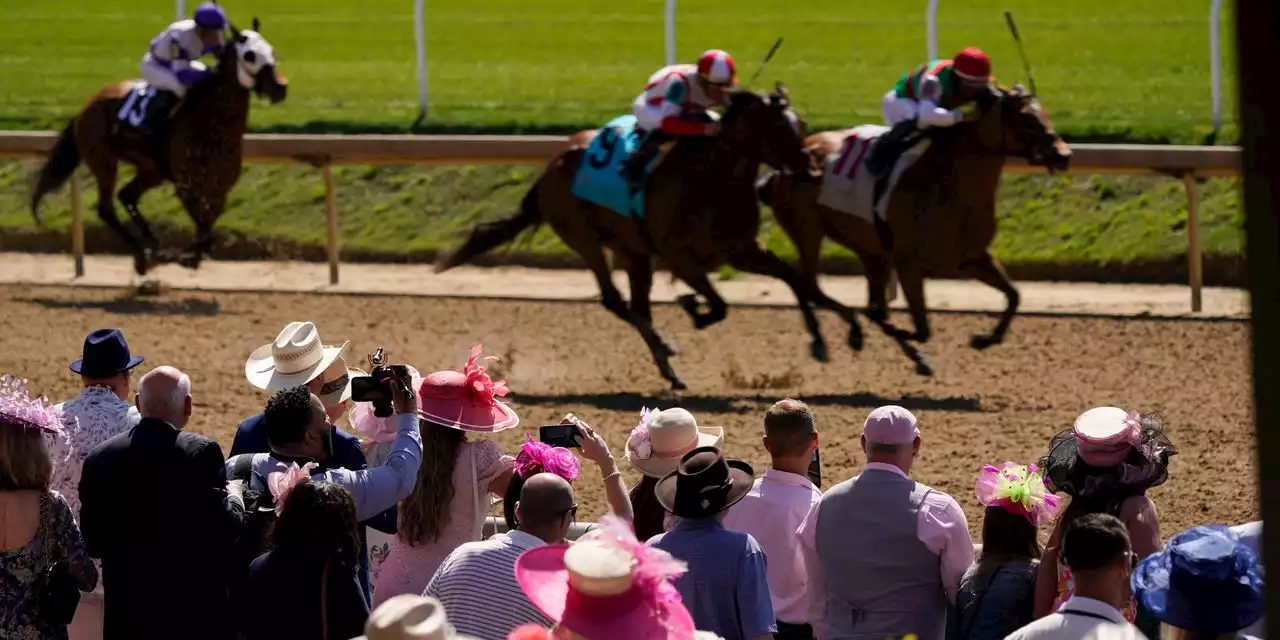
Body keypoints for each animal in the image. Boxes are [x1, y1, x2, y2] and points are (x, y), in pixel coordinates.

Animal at [28, 19, 290, 275]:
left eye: (273, 52)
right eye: (250, 55)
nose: (280, 87)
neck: (212, 123)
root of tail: (87, 105)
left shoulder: (219, 189)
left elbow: (208, 226)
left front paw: (189, 255)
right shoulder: (186, 187)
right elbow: (204, 229)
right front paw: (184, 256)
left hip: (151, 170)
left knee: (126, 195)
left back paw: (152, 244)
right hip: (103, 161)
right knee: (106, 208)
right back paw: (142, 255)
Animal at [432, 85, 860, 389]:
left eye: (800, 124)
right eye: (778, 128)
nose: (811, 171)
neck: (712, 180)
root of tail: (554, 163)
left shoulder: (743, 250)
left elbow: (792, 277)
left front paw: (826, 339)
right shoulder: (681, 259)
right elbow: (719, 305)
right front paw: (692, 308)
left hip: (634, 252)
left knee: (637, 305)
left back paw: (669, 367)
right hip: (582, 235)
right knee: (615, 300)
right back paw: (665, 347)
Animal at [757, 83, 1070, 373]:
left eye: (1045, 113)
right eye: (1028, 119)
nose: (1064, 155)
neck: (953, 187)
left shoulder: (971, 259)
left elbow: (1014, 295)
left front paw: (984, 339)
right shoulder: (908, 262)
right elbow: (921, 328)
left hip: (869, 249)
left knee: (861, 296)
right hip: (807, 230)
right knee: (810, 283)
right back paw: (832, 340)